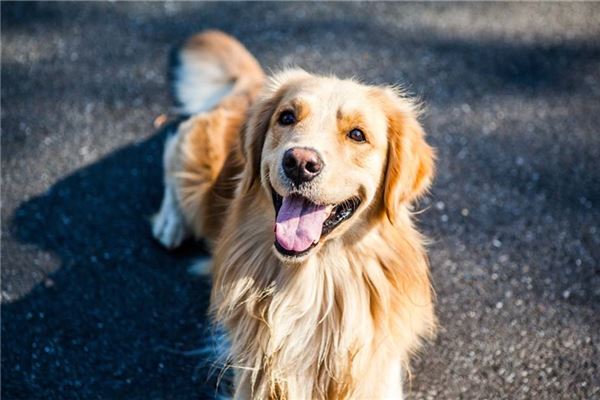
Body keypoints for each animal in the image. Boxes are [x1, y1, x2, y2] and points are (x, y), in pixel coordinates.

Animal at [152, 30, 436, 400]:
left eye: (357, 134)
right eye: (287, 117)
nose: (300, 162)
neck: (315, 279)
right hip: (196, 171)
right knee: (173, 149)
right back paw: (169, 222)